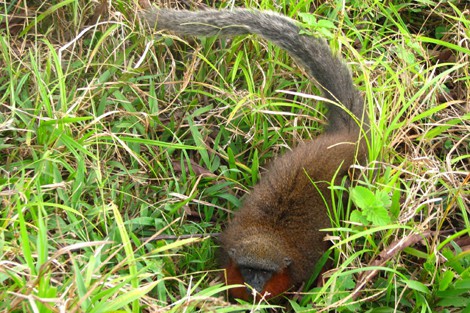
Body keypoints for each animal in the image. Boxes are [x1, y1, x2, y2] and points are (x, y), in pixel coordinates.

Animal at [140, 7, 368, 300]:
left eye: (264, 273)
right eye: (249, 270)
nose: (254, 285)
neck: (268, 233)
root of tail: (347, 137)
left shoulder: (304, 263)